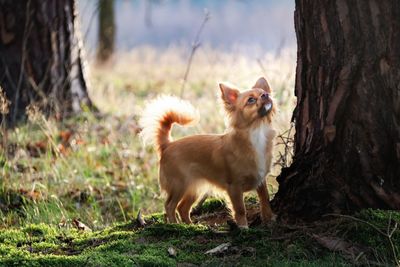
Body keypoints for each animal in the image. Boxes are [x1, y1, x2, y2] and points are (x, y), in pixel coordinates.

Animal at [140, 77, 276, 228]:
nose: (266, 95)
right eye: (251, 100)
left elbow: (265, 199)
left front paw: (269, 220)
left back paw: (192, 226)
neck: (257, 131)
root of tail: (168, 145)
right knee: (170, 206)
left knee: (182, 208)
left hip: (194, 188)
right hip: (179, 185)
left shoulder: (261, 180)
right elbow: (240, 209)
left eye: (264, 92)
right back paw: (176, 226)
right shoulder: (234, 187)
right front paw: (243, 228)